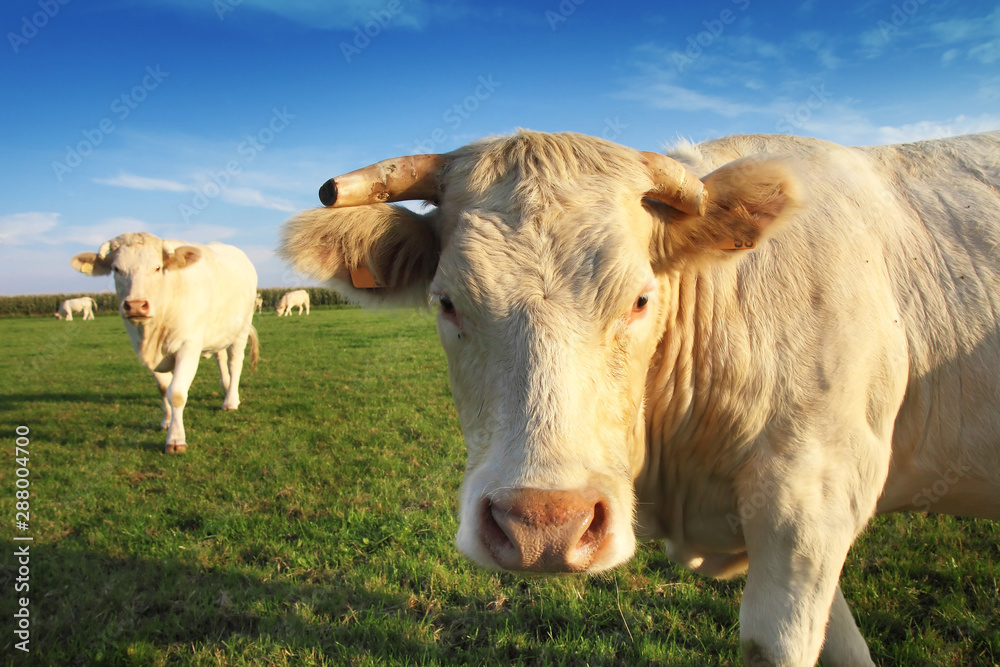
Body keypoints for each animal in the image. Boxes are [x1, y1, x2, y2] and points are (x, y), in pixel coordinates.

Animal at [72, 232, 260, 456]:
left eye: (157, 267)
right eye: (116, 269)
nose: (136, 305)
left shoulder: (188, 346)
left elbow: (176, 392)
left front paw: (176, 440)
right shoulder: (145, 353)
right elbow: (163, 388)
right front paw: (167, 421)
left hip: (242, 327)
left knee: (234, 362)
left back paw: (231, 400)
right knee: (221, 358)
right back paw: (225, 388)